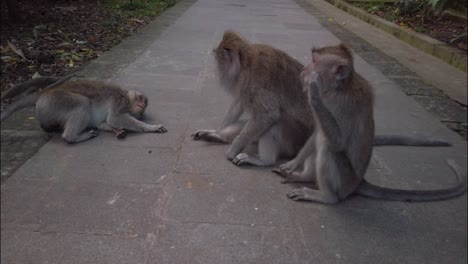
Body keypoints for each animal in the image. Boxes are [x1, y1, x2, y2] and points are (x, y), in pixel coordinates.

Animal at [0, 77, 168, 142]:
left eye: (144, 104)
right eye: (141, 99)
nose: (142, 105)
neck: (126, 96)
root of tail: (43, 94)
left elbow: (105, 122)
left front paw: (116, 130)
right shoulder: (119, 101)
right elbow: (114, 118)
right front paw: (151, 127)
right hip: (55, 102)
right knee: (82, 104)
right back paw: (72, 137)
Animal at [192, 31, 452, 167]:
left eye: (220, 59)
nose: (217, 70)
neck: (246, 63)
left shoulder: (255, 78)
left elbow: (268, 114)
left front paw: (233, 149)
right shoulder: (244, 83)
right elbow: (240, 103)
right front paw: (219, 132)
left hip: (294, 141)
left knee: (276, 121)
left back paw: (263, 161)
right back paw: (220, 137)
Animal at [272, 44, 466, 203]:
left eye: (314, 61)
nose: (305, 69)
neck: (338, 88)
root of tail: (359, 182)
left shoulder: (343, 107)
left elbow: (337, 142)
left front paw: (313, 91)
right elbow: (318, 132)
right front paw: (293, 163)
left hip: (345, 182)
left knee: (328, 147)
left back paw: (327, 197)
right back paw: (304, 177)